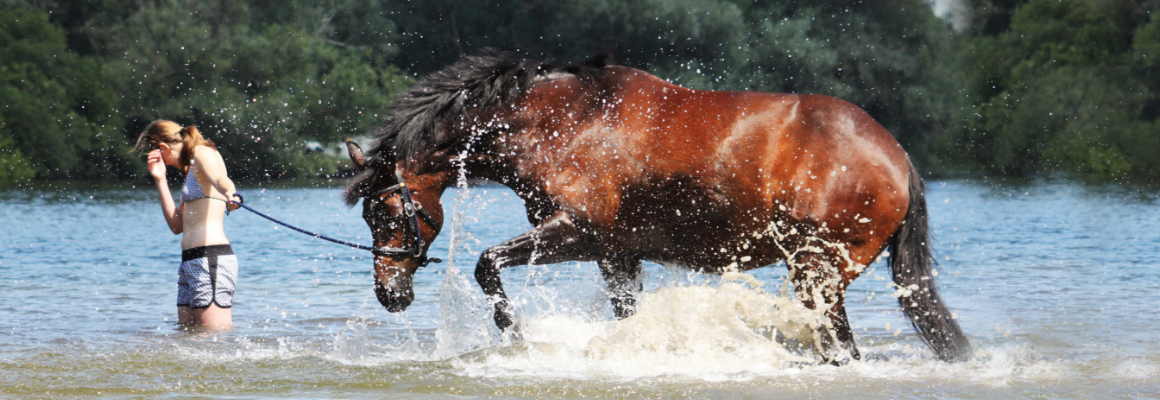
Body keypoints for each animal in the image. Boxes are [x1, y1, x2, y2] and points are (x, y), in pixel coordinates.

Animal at [342, 51, 970, 363]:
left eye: (387, 212)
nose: (389, 294)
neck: (560, 122)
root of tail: (898, 159)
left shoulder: (578, 233)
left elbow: (486, 264)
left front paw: (516, 337)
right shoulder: (615, 253)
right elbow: (628, 315)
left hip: (818, 273)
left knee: (842, 348)